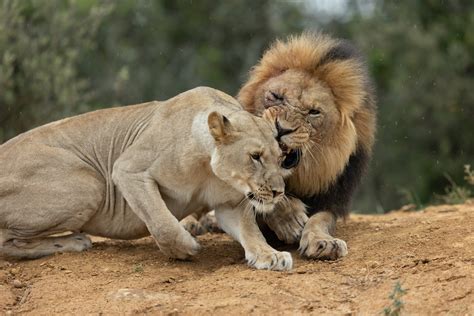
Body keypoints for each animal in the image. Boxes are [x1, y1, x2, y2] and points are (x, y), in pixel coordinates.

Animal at [0, 87, 296, 270]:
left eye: (281, 157)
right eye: (255, 156)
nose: (279, 192)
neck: (208, 168)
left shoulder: (231, 205)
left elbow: (251, 232)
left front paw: (270, 255)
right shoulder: (128, 170)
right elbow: (161, 221)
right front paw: (184, 247)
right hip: (90, 184)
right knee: (6, 242)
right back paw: (73, 241)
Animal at [237, 32, 378, 260]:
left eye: (314, 112)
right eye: (276, 96)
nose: (282, 128)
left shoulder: (332, 199)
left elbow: (320, 220)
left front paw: (324, 243)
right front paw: (291, 221)